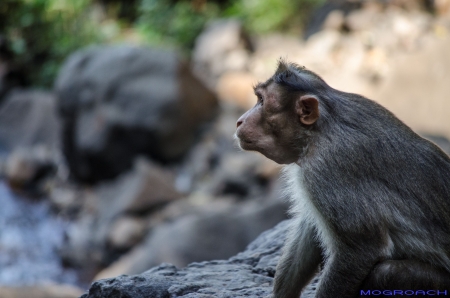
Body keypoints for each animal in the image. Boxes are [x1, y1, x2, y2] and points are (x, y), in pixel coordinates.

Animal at [234, 59, 450, 296]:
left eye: (262, 101)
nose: (239, 121)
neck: (318, 131)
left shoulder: (326, 171)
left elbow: (361, 249)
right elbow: (309, 229)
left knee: (387, 272)